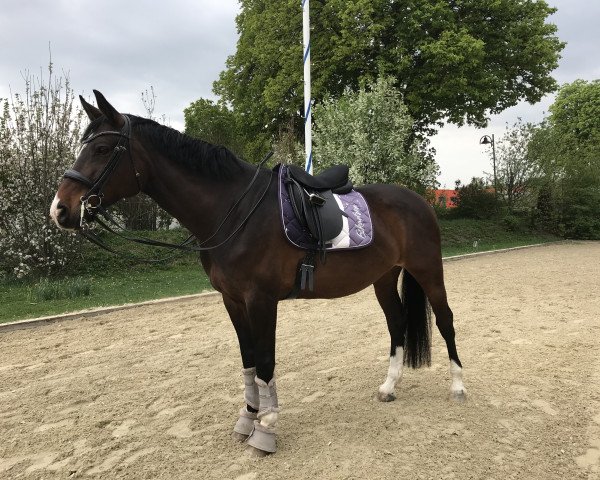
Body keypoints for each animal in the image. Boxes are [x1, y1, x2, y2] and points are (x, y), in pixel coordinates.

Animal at [50, 92, 464, 456]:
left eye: (102, 149)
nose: (60, 209)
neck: (233, 210)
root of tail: (418, 199)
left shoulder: (261, 300)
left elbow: (265, 362)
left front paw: (266, 430)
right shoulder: (232, 300)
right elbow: (248, 360)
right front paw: (248, 419)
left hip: (428, 269)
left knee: (445, 320)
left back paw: (458, 386)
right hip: (383, 277)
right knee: (397, 323)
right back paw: (389, 386)